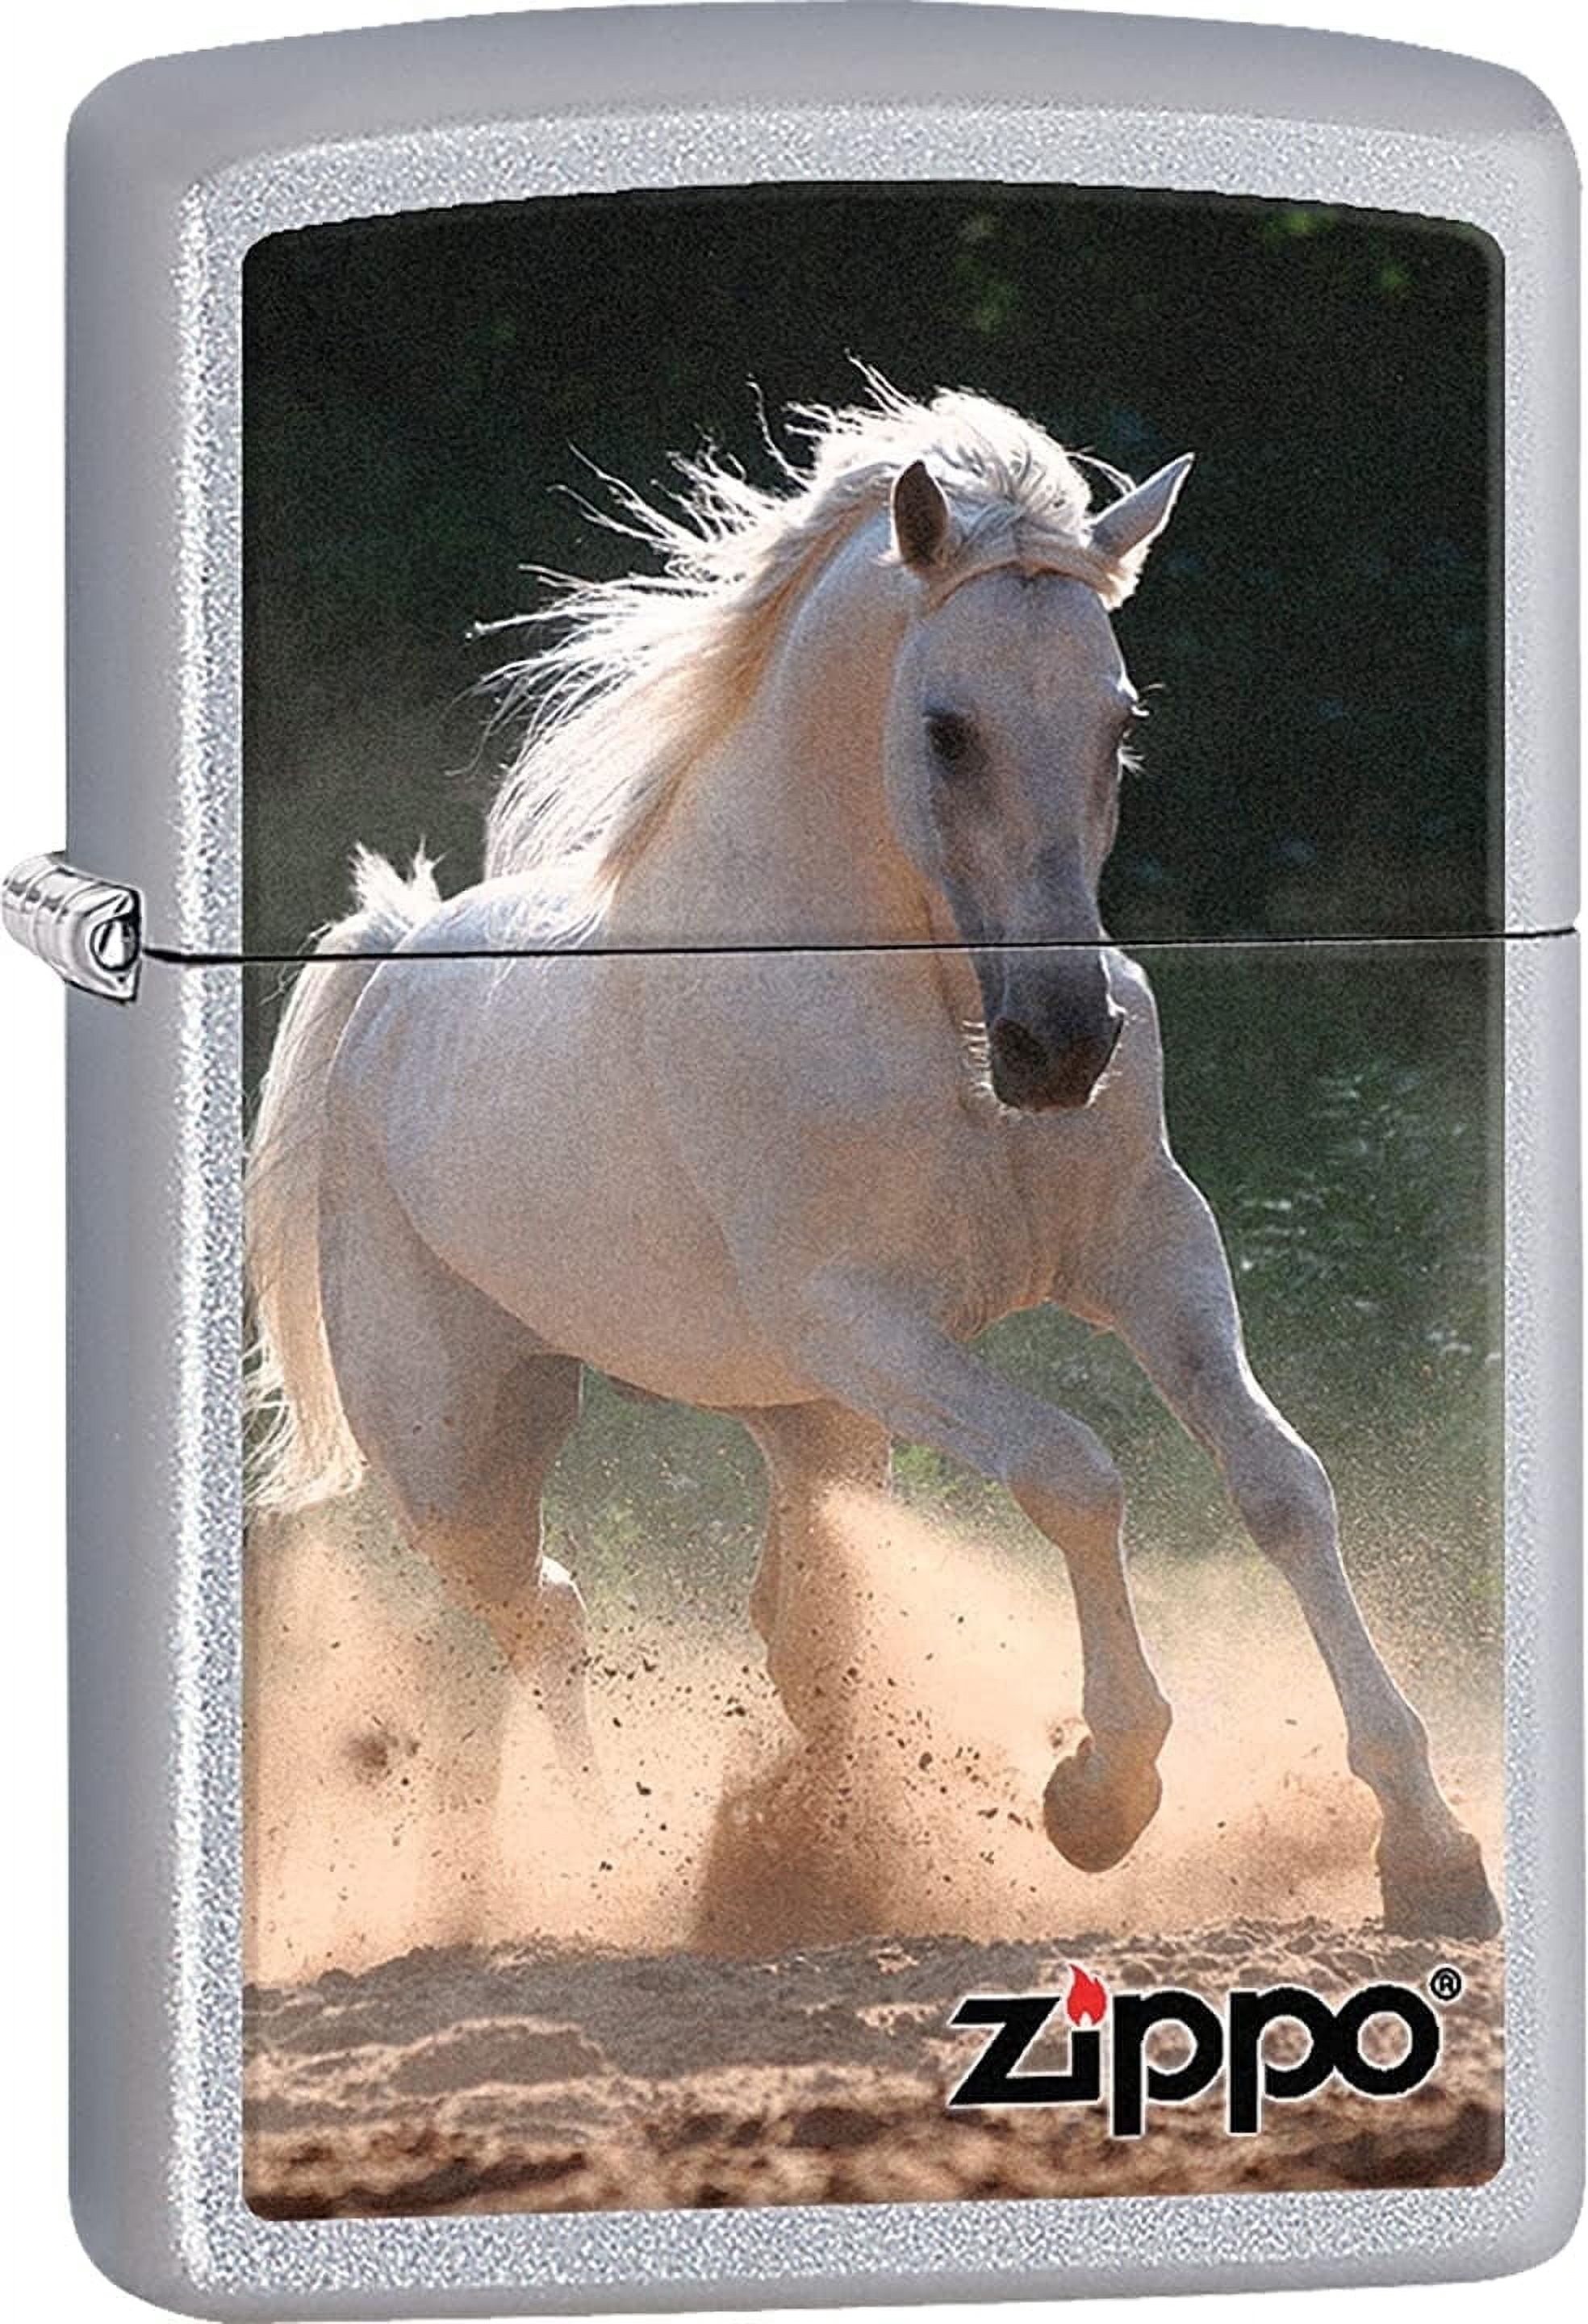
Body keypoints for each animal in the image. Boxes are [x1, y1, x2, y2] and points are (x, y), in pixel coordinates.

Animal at [245, 378, 1498, 1940]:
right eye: (946, 728)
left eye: (1120, 720)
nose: (1059, 1047)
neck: (933, 1019)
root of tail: (396, 964)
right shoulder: (865, 1320)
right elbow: (1074, 1471)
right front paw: (1101, 1793)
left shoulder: (1150, 1253)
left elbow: (1280, 1482)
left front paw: (1427, 1844)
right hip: (464, 1437)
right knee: (536, 1612)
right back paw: (572, 1873)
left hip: (804, 1424)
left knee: (752, 1626)